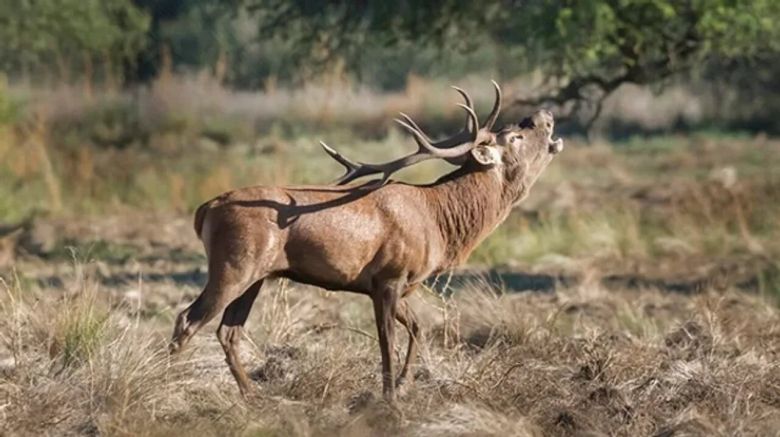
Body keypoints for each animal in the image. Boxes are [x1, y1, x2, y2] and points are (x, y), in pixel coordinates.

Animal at [171, 82, 564, 402]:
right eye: (513, 136)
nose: (544, 114)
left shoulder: (399, 284)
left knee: (228, 331)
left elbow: (417, 327)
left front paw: (403, 386)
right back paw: (170, 385)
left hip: (256, 274)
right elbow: (387, 342)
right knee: (187, 319)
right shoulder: (389, 276)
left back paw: (253, 396)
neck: (440, 223)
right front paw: (389, 399)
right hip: (233, 264)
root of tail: (205, 209)